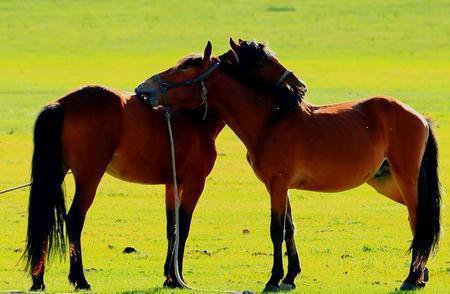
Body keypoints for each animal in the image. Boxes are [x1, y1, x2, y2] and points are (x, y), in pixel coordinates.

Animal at [135, 40, 442, 290]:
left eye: (185, 68)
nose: (143, 89)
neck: (272, 122)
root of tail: (419, 116)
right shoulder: (280, 187)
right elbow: (290, 227)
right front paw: (290, 277)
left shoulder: (278, 184)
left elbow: (276, 229)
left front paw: (273, 279)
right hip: (389, 183)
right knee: (417, 222)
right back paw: (420, 275)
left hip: (405, 179)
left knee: (418, 219)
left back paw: (411, 278)